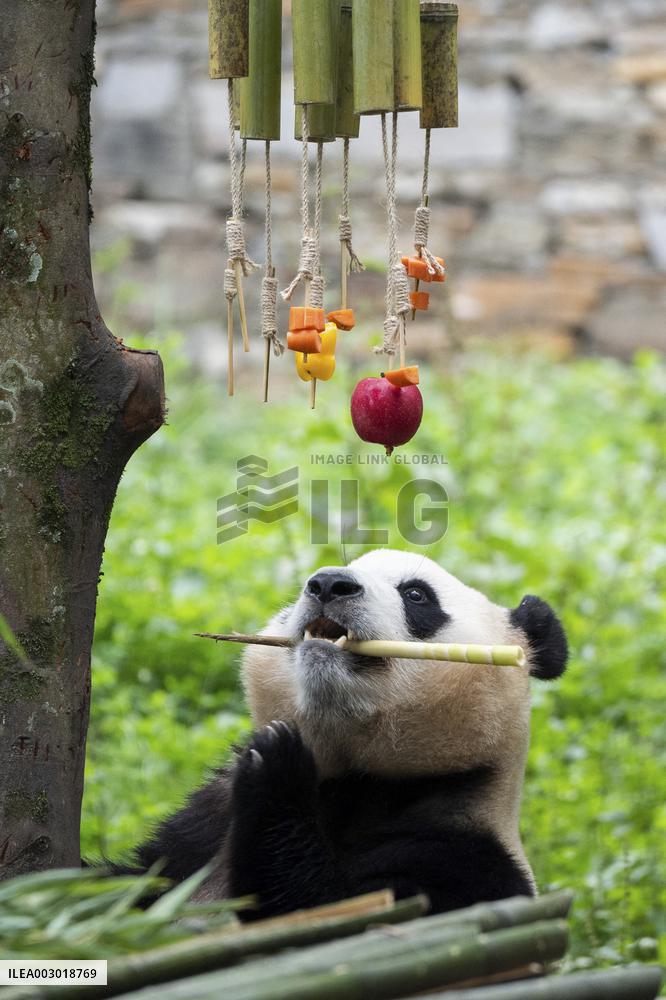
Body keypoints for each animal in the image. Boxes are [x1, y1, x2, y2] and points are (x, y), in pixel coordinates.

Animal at [126, 549, 568, 918]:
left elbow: (328, 911)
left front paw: (277, 763)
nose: (328, 583)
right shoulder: (206, 823)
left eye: (416, 594)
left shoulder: (465, 861)